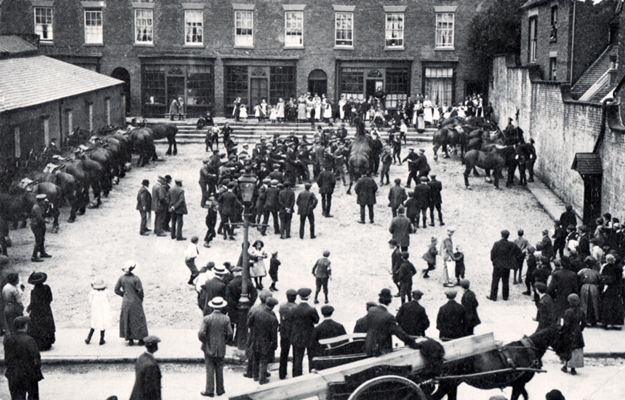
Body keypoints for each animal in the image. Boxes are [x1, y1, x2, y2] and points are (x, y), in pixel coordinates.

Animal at [428, 326, 556, 400]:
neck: (526, 350)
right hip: (448, 384)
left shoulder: (520, 385)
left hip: (452, 384)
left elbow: (526, 396)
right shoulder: (519, 384)